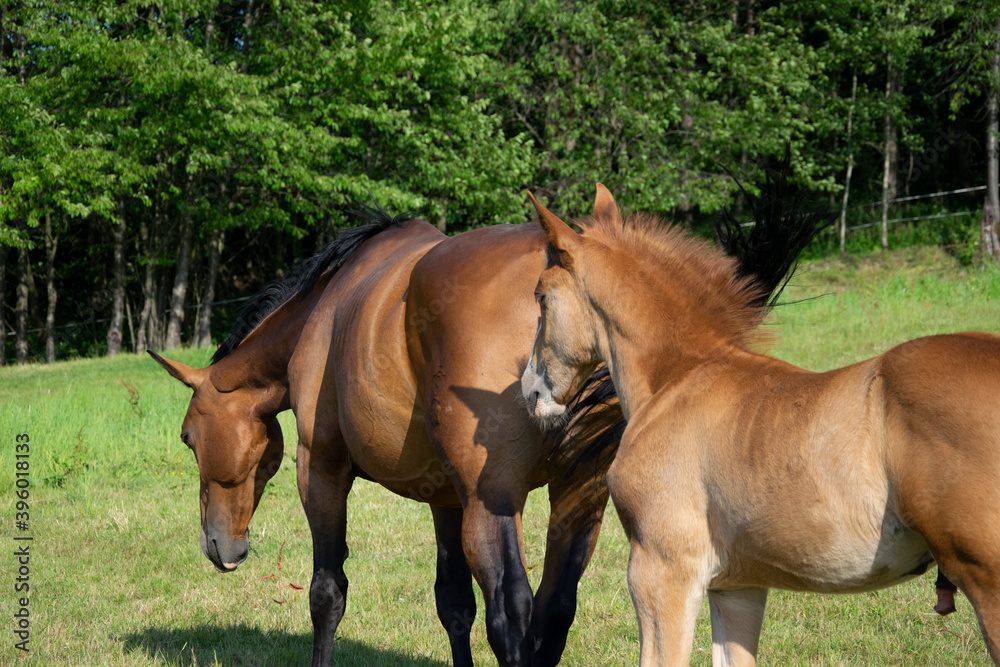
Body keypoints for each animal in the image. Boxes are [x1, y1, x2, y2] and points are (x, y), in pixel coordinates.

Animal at [150, 179, 819, 666]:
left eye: (188, 438)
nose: (220, 547)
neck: (326, 309)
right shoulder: (446, 498)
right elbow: (453, 607)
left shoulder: (323, 471)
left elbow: (327, 593)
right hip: (576, 500)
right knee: (552, 612)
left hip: (493, 502)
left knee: (513, 614)